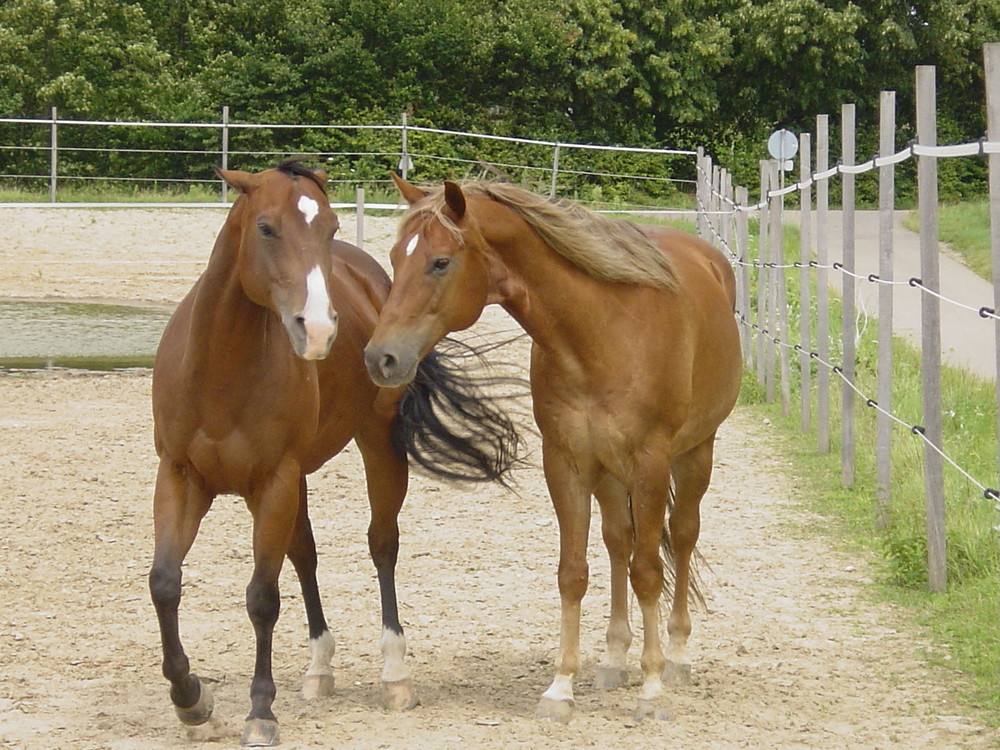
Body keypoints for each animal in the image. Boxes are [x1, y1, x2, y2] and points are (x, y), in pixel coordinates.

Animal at [154, 163, 524, 748]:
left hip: (376, 449)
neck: (219, 373)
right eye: (266, 228)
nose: (320, 328)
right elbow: (166, 584)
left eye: (329, 229)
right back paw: (319, 668)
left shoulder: (274, 483)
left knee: (382, 546)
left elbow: (262, 597)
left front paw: (261, 711)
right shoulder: (180, 476)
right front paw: (191, 699)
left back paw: (394, 676)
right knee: (304, 556)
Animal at [368, 176, 744, 724]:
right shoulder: (567, 462)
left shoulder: (651, 463)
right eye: (397, 257)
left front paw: (652, 689)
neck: (599, 332)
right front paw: (561, 687)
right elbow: (574, 572)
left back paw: (675, 657)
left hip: (694, 453)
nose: (381, 358)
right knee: (618, 542)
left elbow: (649, 572)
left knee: (681, 535)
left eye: (440, 262)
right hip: (609, 472)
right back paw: (613, 659)